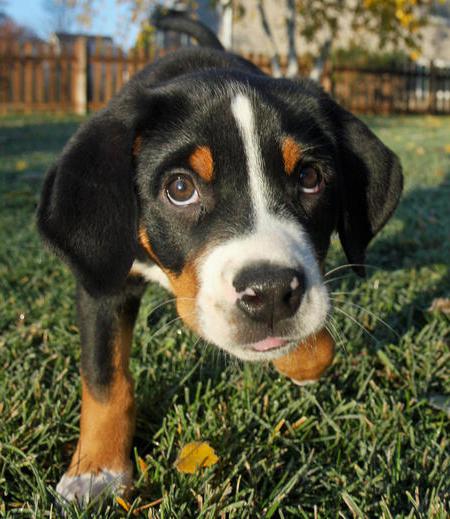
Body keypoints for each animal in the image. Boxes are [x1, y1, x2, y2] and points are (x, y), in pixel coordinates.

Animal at [37, 11, 404, 504]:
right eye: (179, 188)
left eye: (310, 178)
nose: (269, 292)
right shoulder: (103, 281)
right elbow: (105, 378)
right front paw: (96, 471)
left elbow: (314, 334)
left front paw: (303, 358)